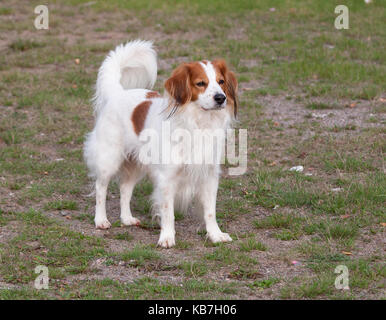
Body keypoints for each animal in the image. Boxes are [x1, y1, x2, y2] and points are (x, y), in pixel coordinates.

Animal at [84, 39, 238, 248]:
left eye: (221, 82)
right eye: (200, 83)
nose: (221, 98)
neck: (197, 123)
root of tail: (118, 93)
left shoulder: (209, 176)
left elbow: (210, 211)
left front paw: (215, 234)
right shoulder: (167, 178)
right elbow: (168, 212)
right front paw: (167, 237)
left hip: (136, 164)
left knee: (125, 188)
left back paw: (127, 218)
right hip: (109, 159)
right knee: (101, 188)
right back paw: (101, 220)